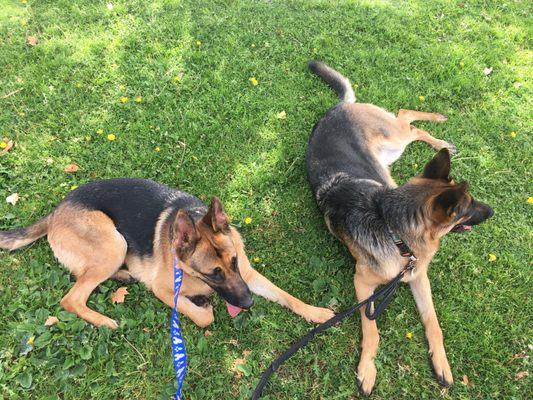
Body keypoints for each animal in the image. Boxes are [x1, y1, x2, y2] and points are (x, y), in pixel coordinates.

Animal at [0, 180, 332, 330]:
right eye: (213, 274)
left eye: (234, 262)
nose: (248, 303)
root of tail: (56, 210)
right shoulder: (163, 290)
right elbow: (204, 318)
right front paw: (202, 303)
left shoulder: (248, 276)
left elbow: (286, 295)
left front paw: (315, 313)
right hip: (114, 243)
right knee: (71, 298)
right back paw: (105, 320)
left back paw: (123, 275)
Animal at [306, 61, 492, 394]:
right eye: (467, 208)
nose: (492, 211)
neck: (394, 232)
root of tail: (338, 108)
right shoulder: (362, 284)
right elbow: (372, 329)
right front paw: (367, 368)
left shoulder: (418, 277)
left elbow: (433, 324)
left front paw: (441, 363)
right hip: (394, 144)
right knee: (406, 118)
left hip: (394, 143)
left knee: (408, 118)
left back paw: (440, 134)